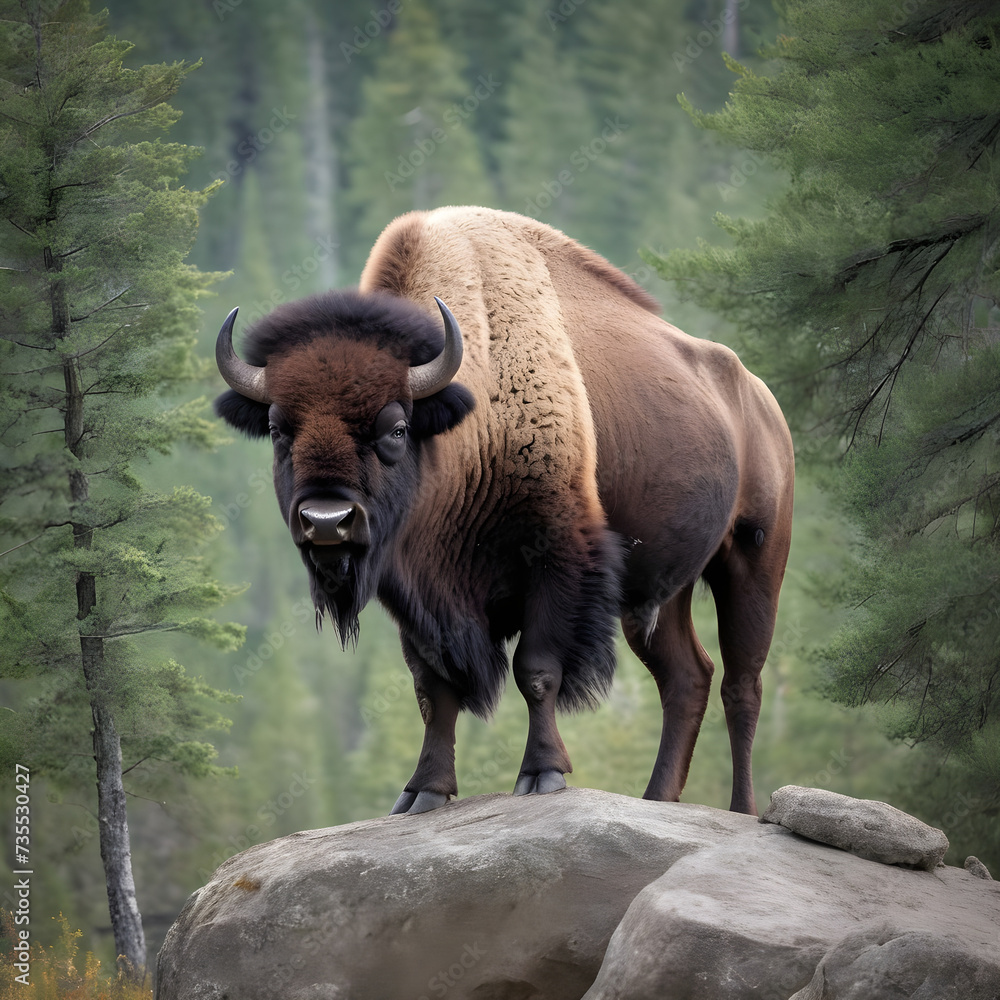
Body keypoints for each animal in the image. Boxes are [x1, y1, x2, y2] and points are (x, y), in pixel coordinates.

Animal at [215, 206, 794, 815]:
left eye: (395, 428)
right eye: (279, 429)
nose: (327, 523)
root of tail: (760, 399)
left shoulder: (558, 563)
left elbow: (536, 672)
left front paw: (542, 774)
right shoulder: (415, 597)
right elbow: (434, 688)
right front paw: (424, 791)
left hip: (753, 563)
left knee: (742, 684)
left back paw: (743, 808)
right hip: (658, 596)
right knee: (687, 678)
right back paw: (657, 798)